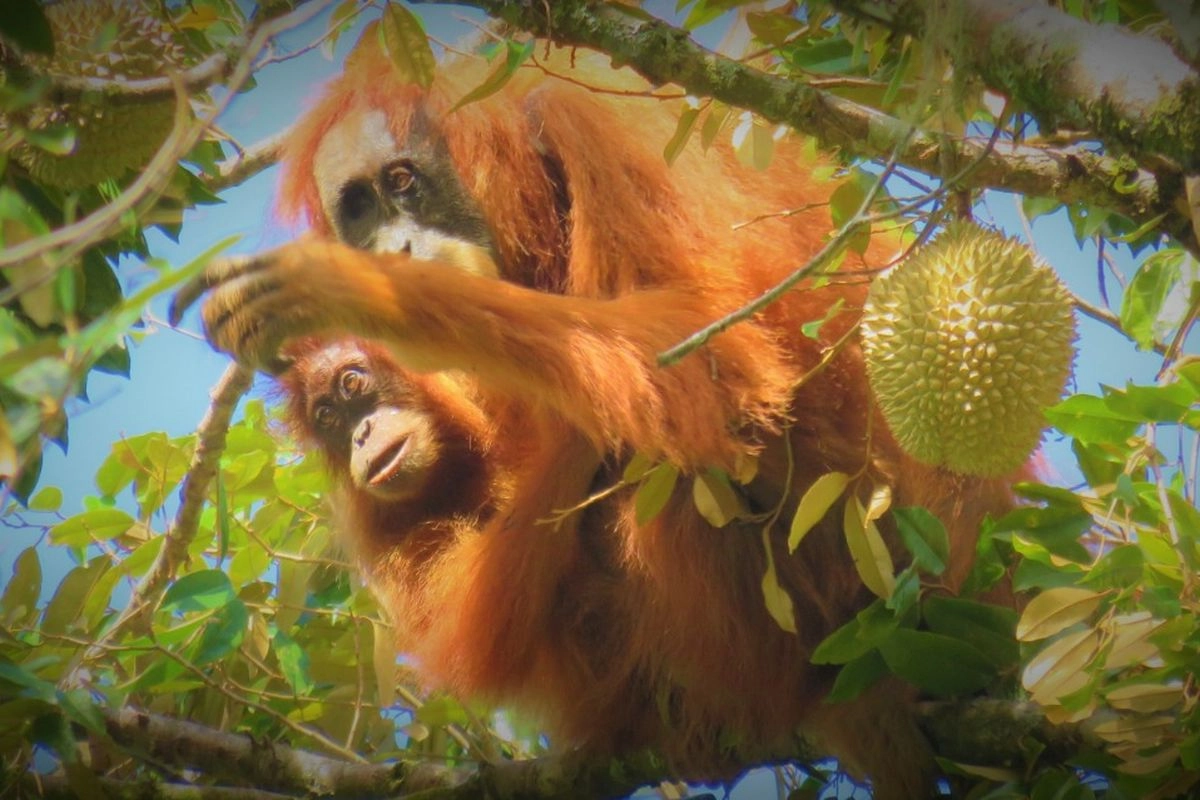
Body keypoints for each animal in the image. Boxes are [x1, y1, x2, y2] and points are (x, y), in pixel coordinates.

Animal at [172, 38, 1024, 798]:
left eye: (402, 181)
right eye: (357, 211)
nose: (392, 247)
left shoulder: (598, 129)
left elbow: (715, 354)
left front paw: (363, 291)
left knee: (680, 460)